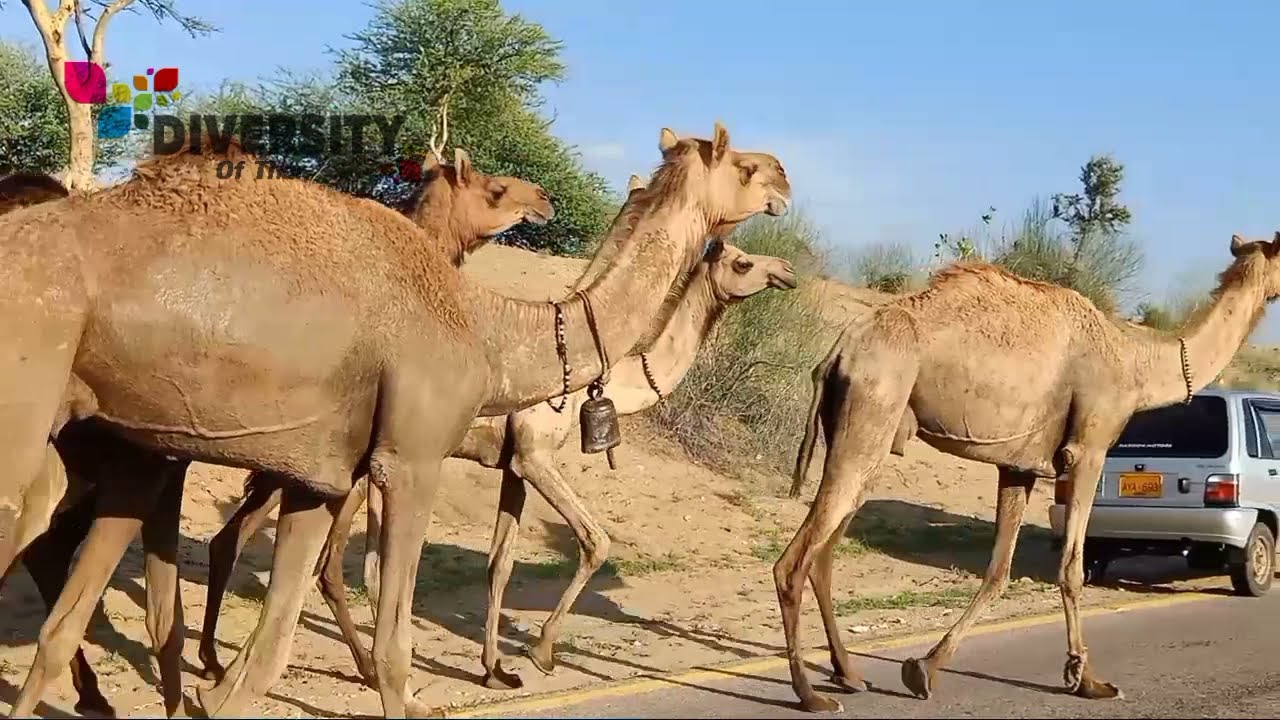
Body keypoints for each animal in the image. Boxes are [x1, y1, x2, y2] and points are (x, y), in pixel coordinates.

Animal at [196, 226, 799, 691]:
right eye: (743, 261)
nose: (788, 271)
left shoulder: (512, 467)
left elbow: (499, 562)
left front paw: (495, 670)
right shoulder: (537, 455)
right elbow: (595, 540)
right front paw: (542, 653)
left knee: (241, 537)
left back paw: (214, 661)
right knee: (327, 564)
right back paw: (350, 666)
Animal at [779, 231, 1280, 713]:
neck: (1135, 362)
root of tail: (839, 350)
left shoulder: (1018, 465)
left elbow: (998, 571)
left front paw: (924, 669)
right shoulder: (1088, 449)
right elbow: (1072, 567)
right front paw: (1087, 681)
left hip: (862, 428)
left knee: (824, 554)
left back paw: (849, 675)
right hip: (874, 406)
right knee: (793, 563)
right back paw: (810, 696)